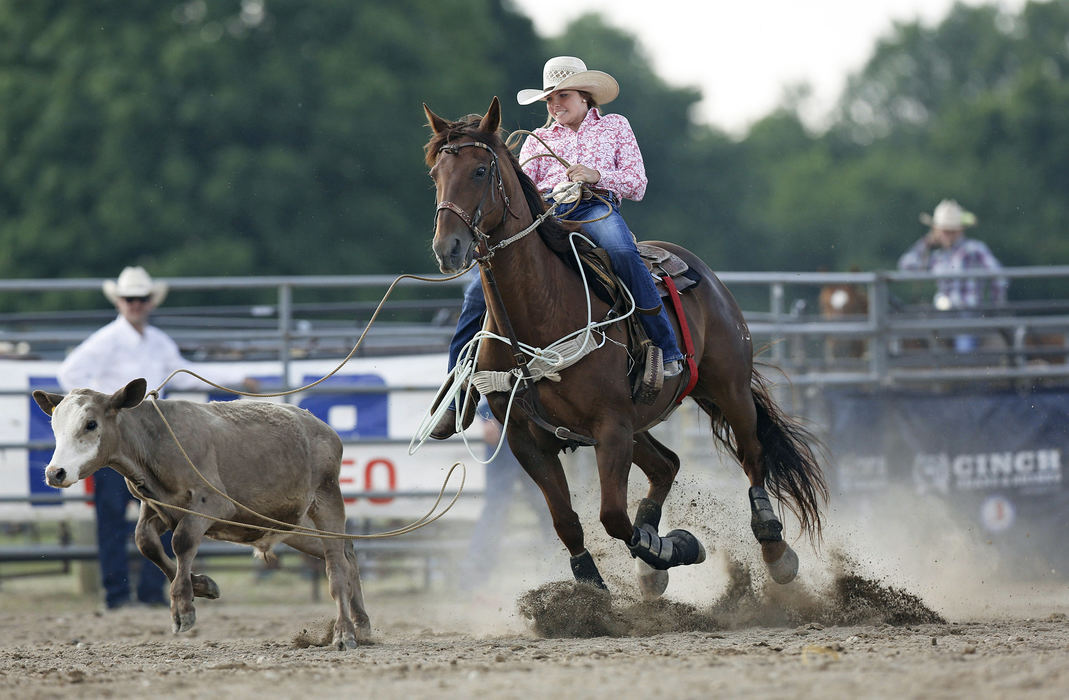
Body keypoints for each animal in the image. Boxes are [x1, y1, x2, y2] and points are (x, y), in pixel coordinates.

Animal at [33, 380, 369, 649]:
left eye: (90, 424)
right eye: (54, 427)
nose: (55, 472)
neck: (156, 440)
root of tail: (326, 430)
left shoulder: (213, 506)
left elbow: (182, 541)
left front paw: (183, 608)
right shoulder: (158, 507)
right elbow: (145, 542)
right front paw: (203, 585)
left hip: (326, 501)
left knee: (336, 565)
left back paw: (344, 633)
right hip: (294, 526)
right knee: (348, 554)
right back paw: (362, 625)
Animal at [421, 98, 820, 598]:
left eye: (479, 171)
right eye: (435, 173)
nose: (448, 248)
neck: (538, 318)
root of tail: (699, 269)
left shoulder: (610, 426)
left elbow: (611, 516)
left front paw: (678, 547)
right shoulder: (526, 439)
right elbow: (567, 521)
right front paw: (597, 586)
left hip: (726, 387)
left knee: (752, 455)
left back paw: (774, 550)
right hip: (641, 420)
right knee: (667, 464)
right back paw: (652, 563)